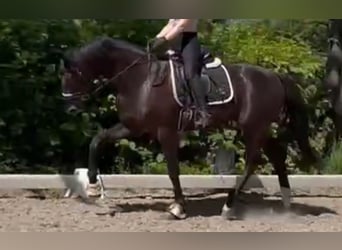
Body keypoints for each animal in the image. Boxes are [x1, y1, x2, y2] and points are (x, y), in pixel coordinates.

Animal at [60, 36, 320, 220]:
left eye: (72, 75)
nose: (70, 109)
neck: (141, 80)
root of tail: (275, 76)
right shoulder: (131, 127)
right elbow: (97, 140)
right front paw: (93, 186)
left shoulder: (165, 131)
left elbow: (173, 170)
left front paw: (178, 208)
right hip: (260, 127)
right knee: (277, 153)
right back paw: (286, 202)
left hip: (253, 127)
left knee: (252, 162)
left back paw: (228, 207)